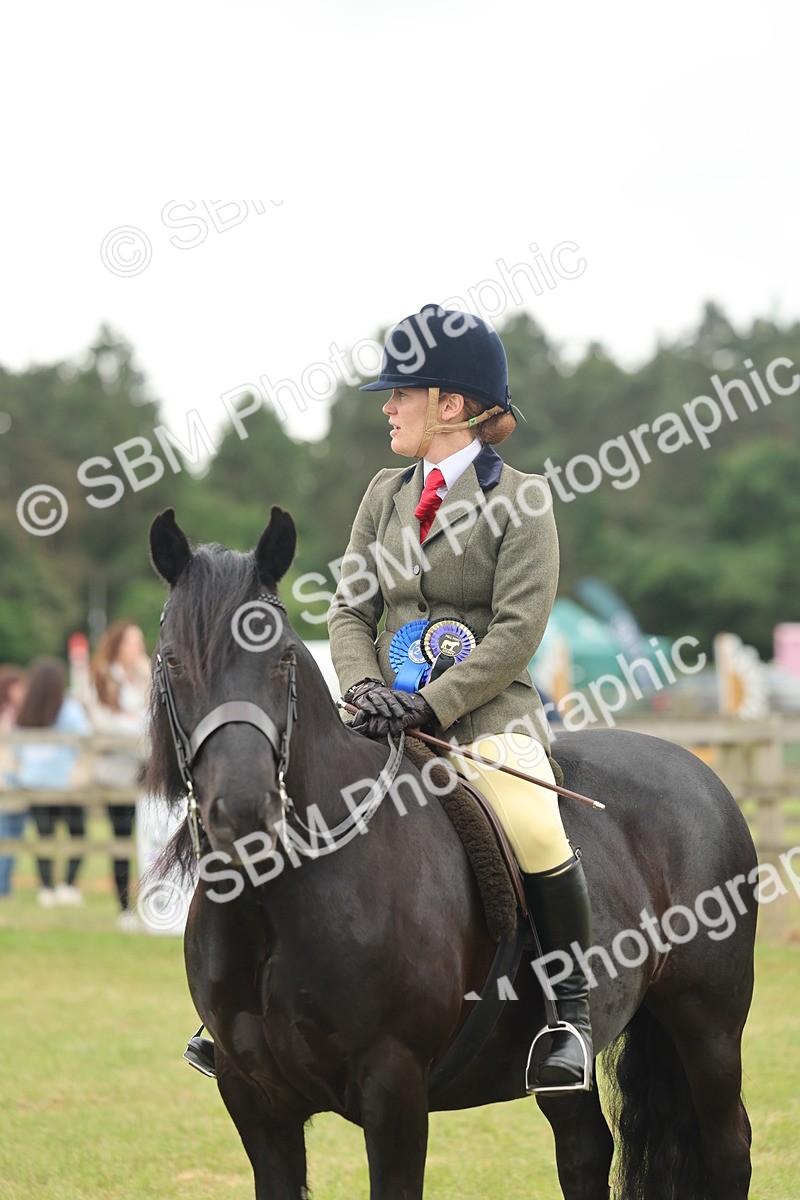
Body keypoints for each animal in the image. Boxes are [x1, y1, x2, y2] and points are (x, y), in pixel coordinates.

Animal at [145, 505, 758, 1200]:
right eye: (172, 661)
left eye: (280, 660)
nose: (245, 813)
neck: (278, 900)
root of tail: (699, 770)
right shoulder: (256, 1103)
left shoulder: (394, 1091)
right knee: (584, 1150)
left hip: (708, 1026)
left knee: (727, 1148)